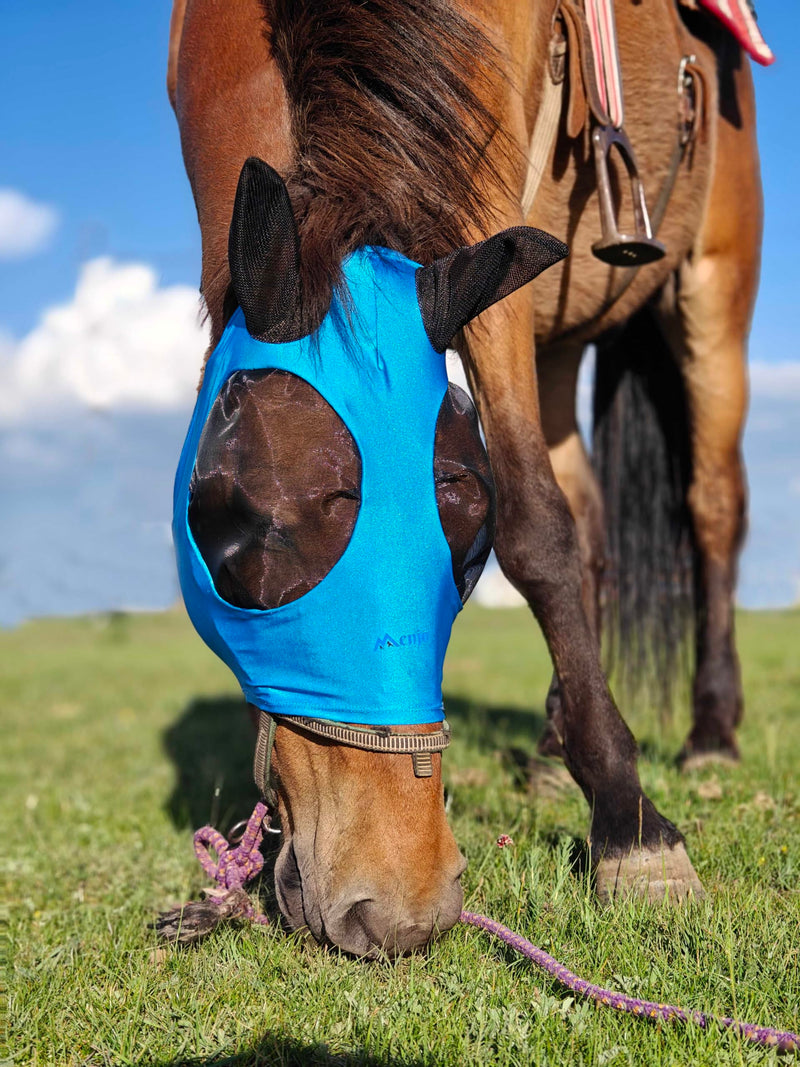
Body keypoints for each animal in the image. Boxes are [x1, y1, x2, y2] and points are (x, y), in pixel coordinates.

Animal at [166, 0, 760, 956]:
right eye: (241, 519)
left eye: (468, 527)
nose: (399, 906)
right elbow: (559, 524)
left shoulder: (480, 200)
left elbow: (538, 527)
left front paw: (634, 830)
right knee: (593, 514)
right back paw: (557, 749)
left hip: (713, 287)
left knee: (709, 508)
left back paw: (708, 730)